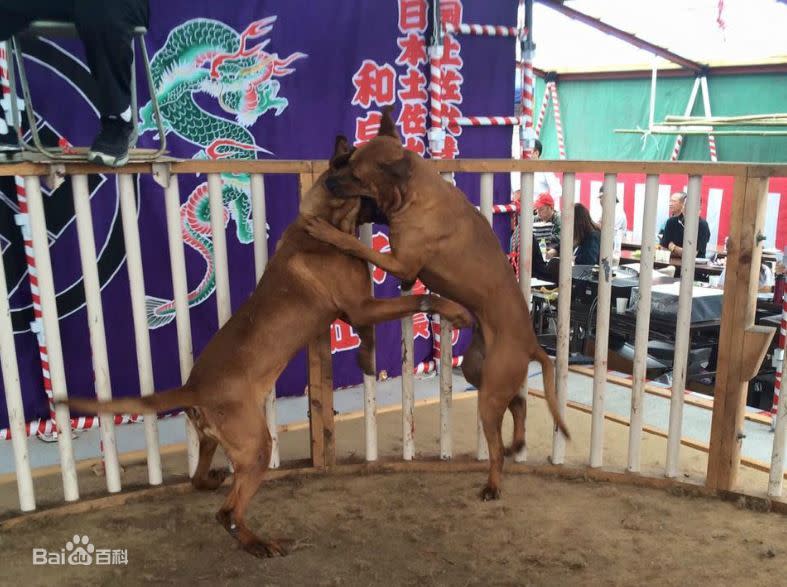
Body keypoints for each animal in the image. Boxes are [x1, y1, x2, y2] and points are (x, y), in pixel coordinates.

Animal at [304, 107, 568, 500]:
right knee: (519, 404)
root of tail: (533, 344)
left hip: (490, 392)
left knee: (497, 444)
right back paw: (517, 442)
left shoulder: (402, 261)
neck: (415, 194)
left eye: (356, 174)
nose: (331, 183)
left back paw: (494, 482)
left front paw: (328, 232)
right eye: (345, 162)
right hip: (479, 370)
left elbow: (360, 246)